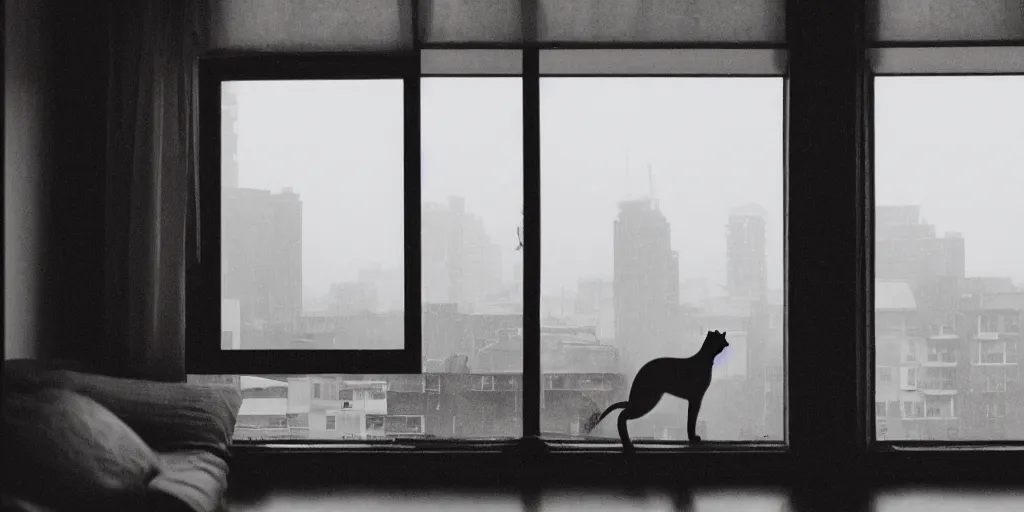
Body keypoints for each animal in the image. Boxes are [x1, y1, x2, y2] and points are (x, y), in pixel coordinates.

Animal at [585, 329, 729, 450]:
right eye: (722, 338)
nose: (728, 343)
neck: (704, 359)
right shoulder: (696, 398)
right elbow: (691, 421)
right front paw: (693, 438)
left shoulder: (694, 399)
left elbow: (690, 420)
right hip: (647, 401)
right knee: (622, 416)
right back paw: (628, 444)